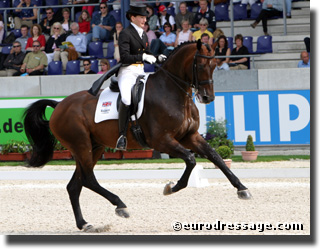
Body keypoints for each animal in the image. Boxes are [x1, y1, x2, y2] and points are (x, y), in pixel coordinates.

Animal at [23, 39, 252, 232]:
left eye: (214, 65)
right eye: (201, 65)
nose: (207, 97)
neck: (173, 91)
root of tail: (59, 105)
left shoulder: (190, 136)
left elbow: (215, 156)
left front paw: (242, 189)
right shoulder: (161, 141)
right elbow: (190, 159)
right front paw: (171, 187)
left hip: (93, 147)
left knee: (75, 185)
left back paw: (85, 224)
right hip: (81, 146)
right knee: (88, 179)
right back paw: (120, 206)